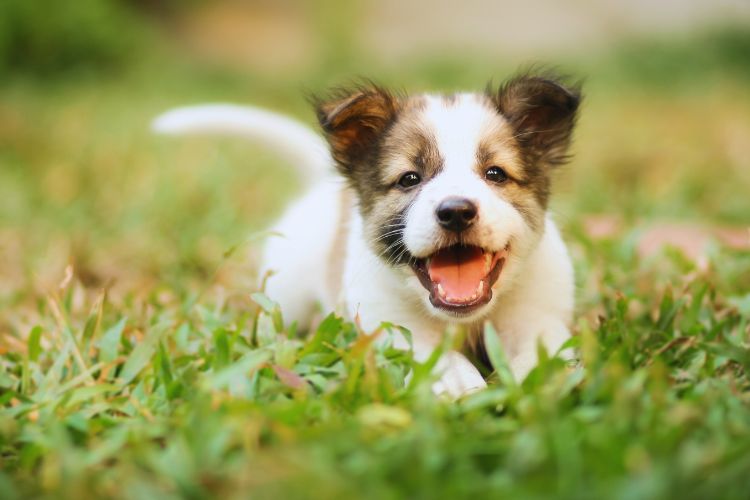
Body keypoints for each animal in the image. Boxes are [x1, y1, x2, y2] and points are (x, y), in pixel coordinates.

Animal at [156, 71, 584, 398]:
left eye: (495, 173)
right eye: (409, 178)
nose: (456, 212)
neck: (466, 319)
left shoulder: (538, 319)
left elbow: (541, 357)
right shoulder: (397, 329)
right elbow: (445, 362)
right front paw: (465, 389)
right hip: (285, 300)